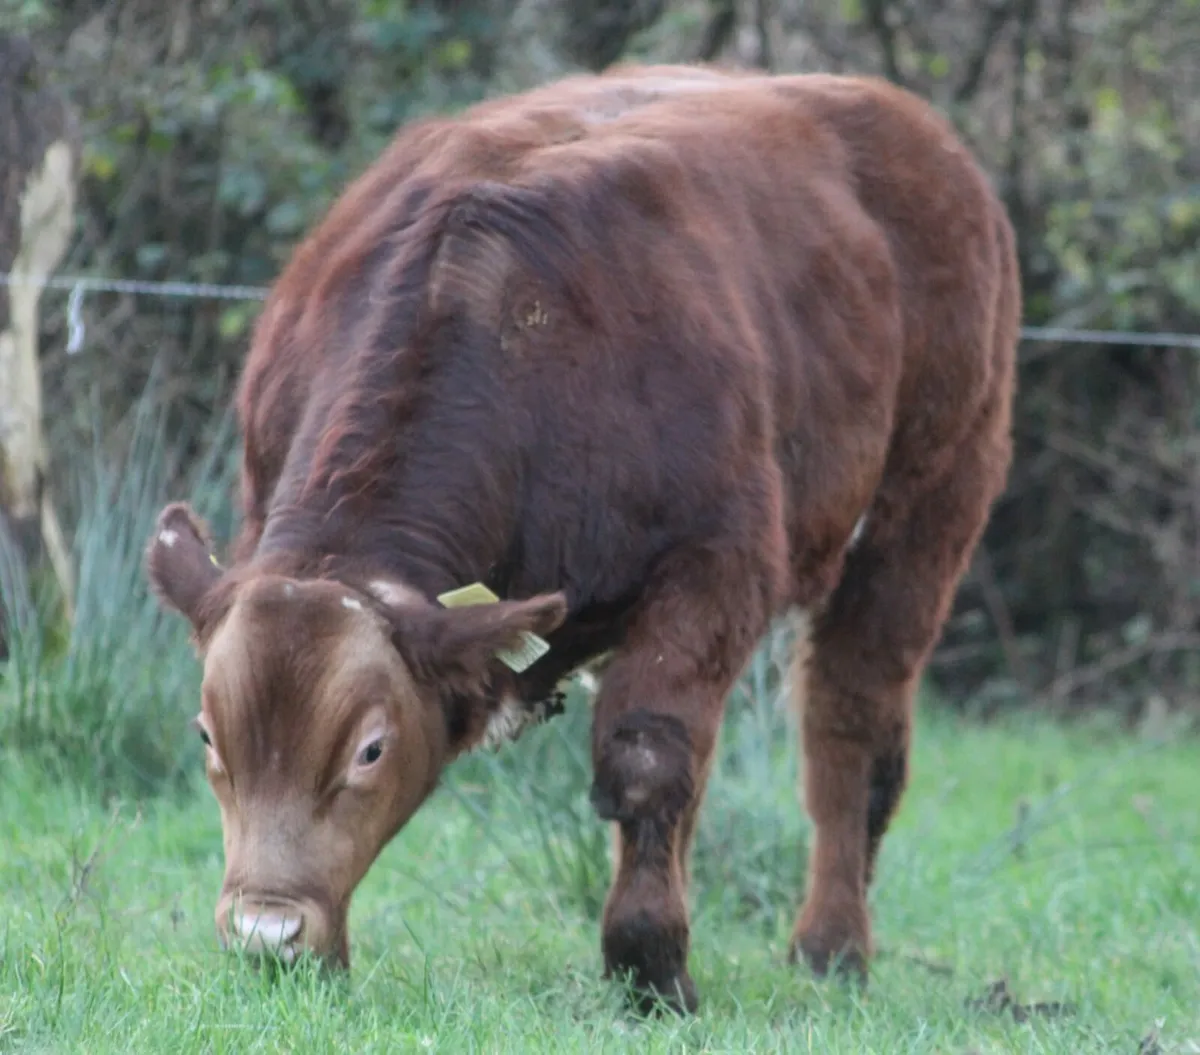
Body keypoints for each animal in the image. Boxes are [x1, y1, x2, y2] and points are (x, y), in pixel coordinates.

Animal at [145, 63, 1018, 1014]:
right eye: (206, 733)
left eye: (371, 748)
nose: (267, 933)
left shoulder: (715, 567)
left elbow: (647, 758)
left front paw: (651, 962)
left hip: (935, 495)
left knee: (850, 717)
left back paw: (832, 945)